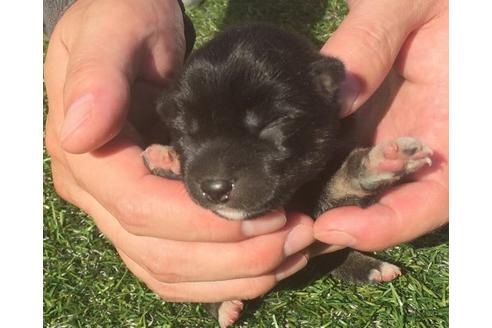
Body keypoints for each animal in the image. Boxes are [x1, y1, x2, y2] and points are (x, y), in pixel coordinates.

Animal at [141, 23, 430, 328]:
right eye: (185, 131)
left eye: (272, 123)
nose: (215, 187)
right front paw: (166, 160)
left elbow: (340, 184)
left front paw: (385, 162)